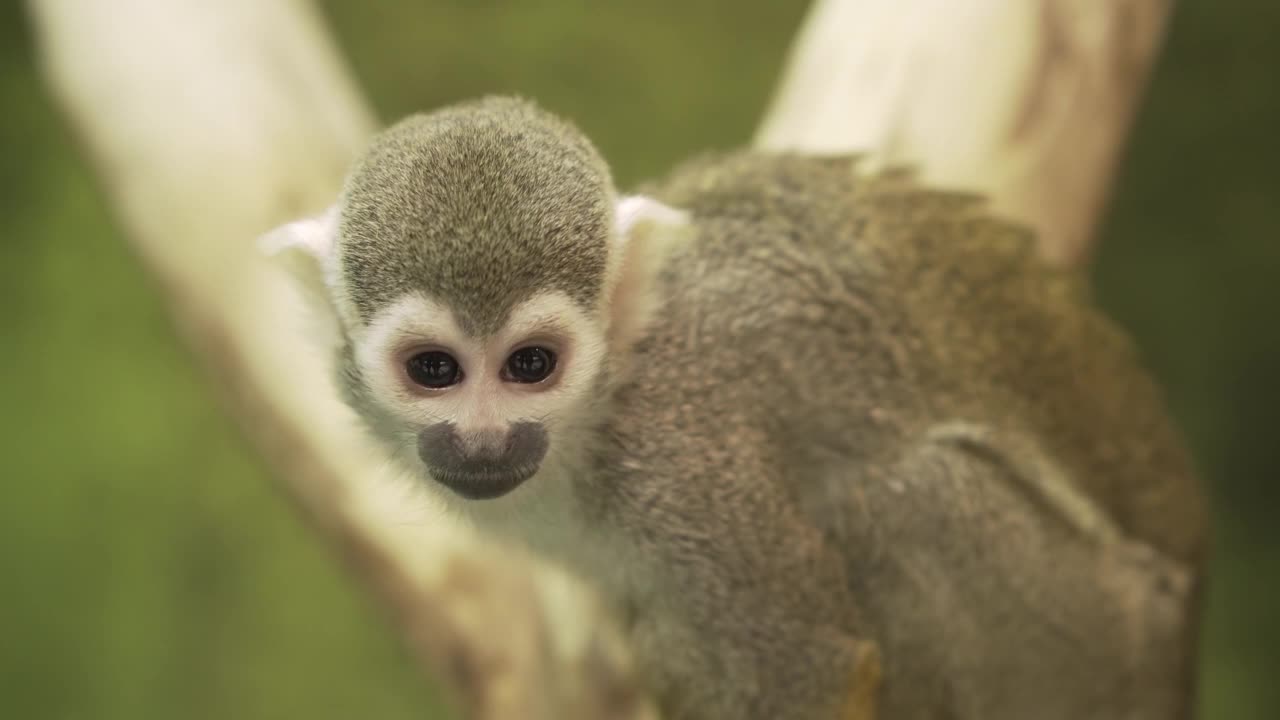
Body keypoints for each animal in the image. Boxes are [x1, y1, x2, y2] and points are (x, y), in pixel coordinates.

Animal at [262, 96, 1208, 717]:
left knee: (910, 499)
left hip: (1101, 638)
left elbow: (806, 664)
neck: (611, 400)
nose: (485, 441)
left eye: (531, 365)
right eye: (435, 370)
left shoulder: (688, 466)